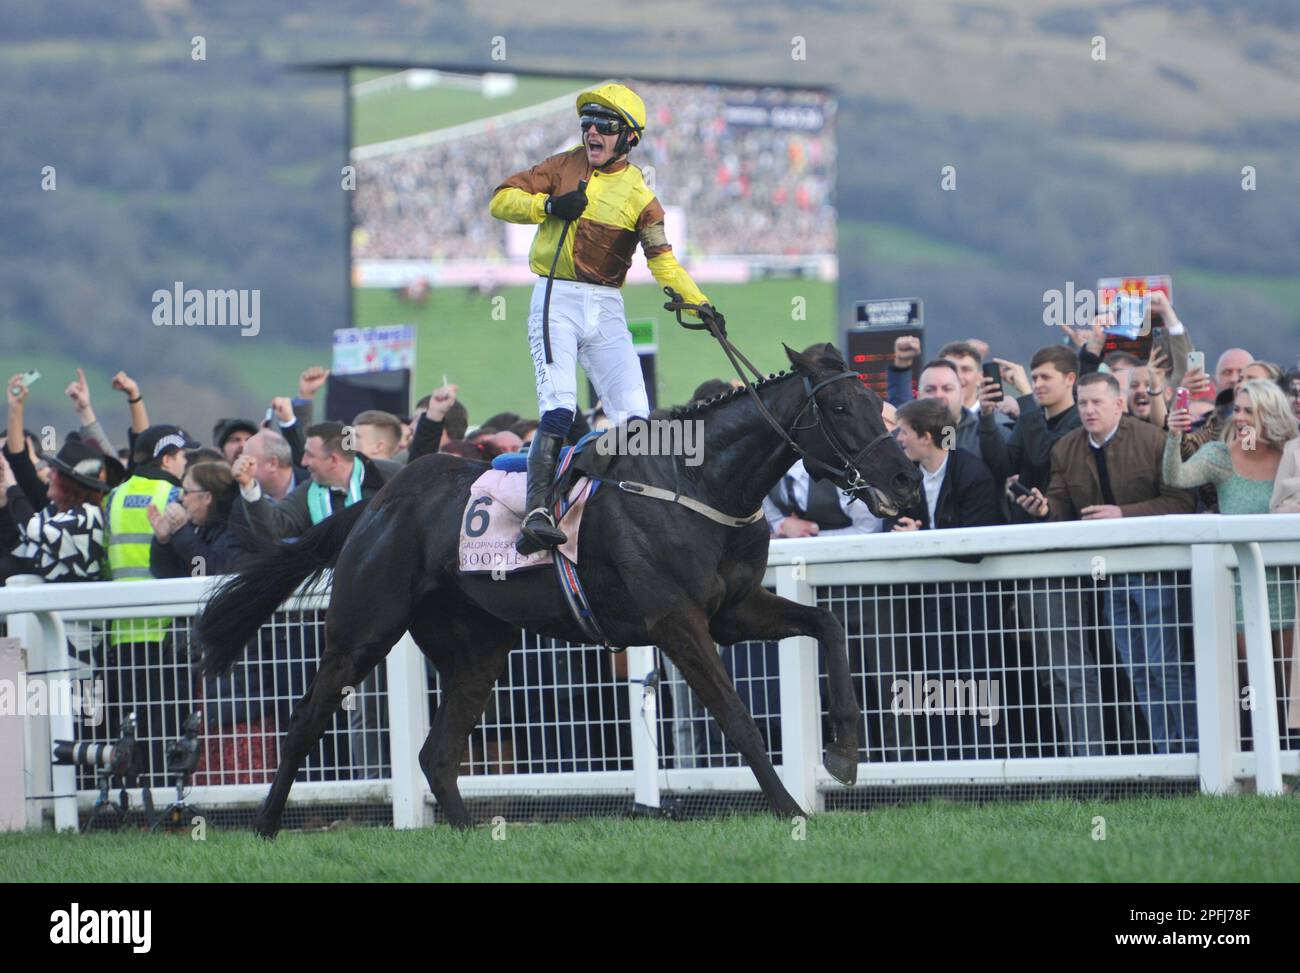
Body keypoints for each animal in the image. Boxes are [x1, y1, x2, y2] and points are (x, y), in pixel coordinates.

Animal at [195, 343, 925, 837]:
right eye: (840, 406)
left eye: (879, 403)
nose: (907, 476)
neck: (698, 483)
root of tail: (377, 498)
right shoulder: (676, 620)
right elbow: (737, 716)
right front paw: (789, 807)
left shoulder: (734, 609)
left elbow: (827, 624)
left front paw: (845, 751)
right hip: (365, 626)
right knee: (306, 721)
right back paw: (264, 826)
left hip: (480, 644)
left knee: (436, 752)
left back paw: (470, 833)